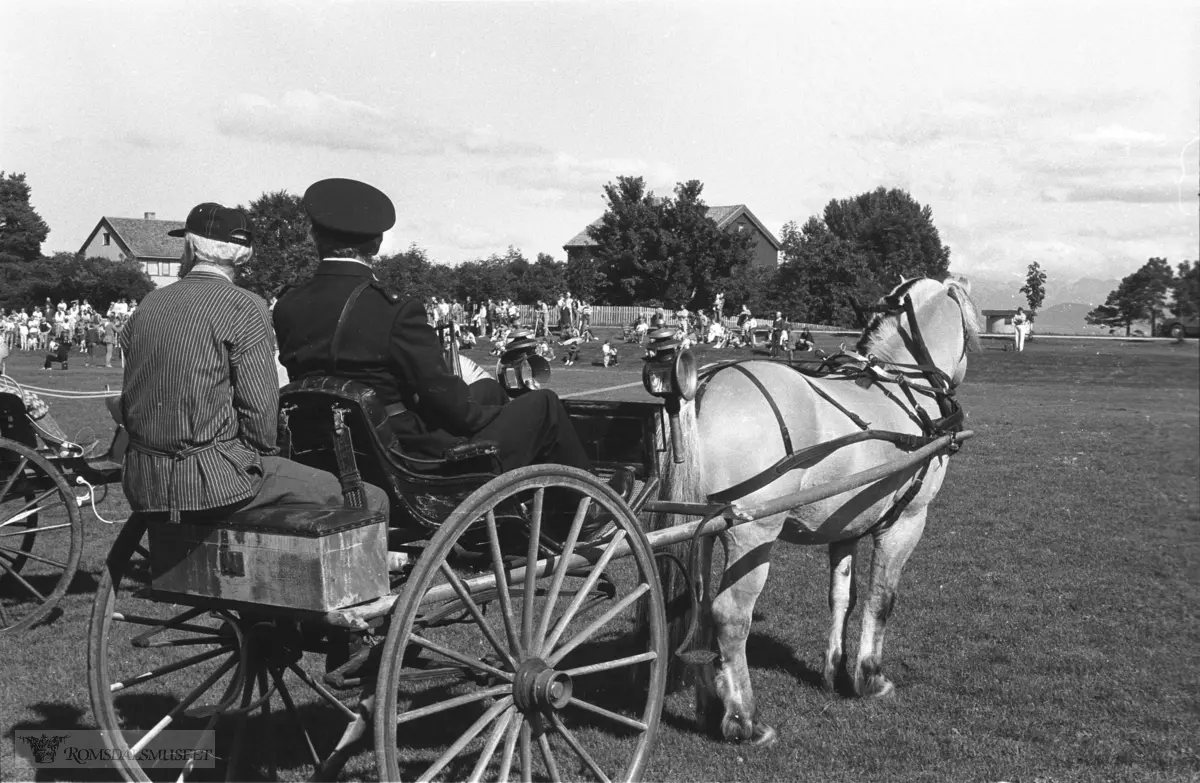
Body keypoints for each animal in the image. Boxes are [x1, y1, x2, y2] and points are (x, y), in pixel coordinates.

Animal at [662, 275, 979, 744]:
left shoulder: (846, 526)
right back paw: (744, 719)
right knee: (730, 615)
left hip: (702, 532)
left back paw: (708, 709)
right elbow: (881, 598)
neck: (901, 391)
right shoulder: (906, 521)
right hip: (753, 534)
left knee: (699, 611)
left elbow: (842, 597)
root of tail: (699, 387)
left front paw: (835, 670)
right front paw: (870, 677)